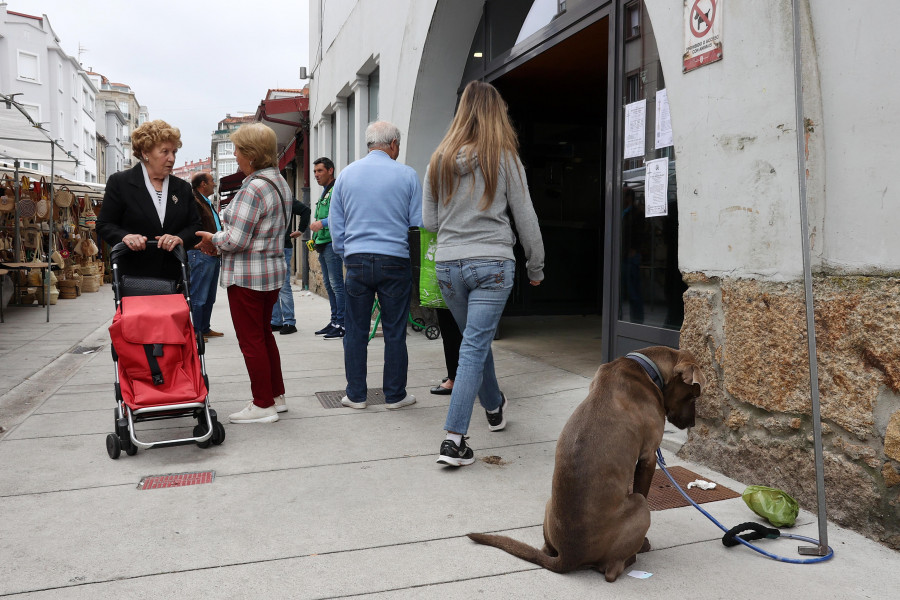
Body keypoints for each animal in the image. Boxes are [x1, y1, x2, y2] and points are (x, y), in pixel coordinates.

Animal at [468, 346, 708, 580]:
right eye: (692, 397)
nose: (692, 423)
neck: (646, 367)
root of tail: (568, 556)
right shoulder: (648, 456)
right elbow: (643, 485)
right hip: (640, 506)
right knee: (611, 571)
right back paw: (636, 553)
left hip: (549, 504)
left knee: (546, 549)